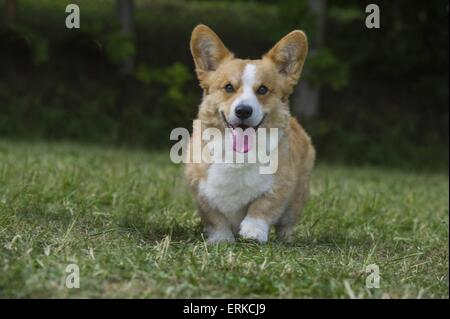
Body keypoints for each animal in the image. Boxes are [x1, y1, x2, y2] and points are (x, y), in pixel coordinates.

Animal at [185, 24, 314, 245]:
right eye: (228, 87)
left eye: (262, 89)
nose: (243, 111)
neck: (239, 156)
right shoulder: (201, 190)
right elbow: (215, 218)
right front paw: (221, 239)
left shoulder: (281, 185)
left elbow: (263, 206)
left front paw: (253, 232)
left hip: (296, 201)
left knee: (286, 224)